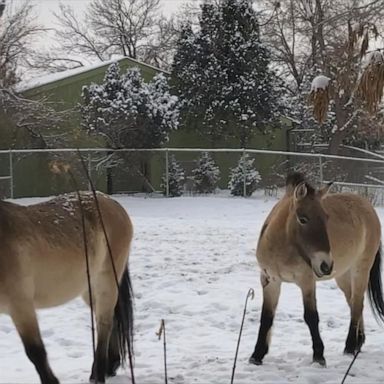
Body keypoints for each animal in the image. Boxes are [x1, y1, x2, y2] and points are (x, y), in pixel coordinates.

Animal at [0, 192, 134, 384]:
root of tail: (112, 202)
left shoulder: (21, 306)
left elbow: (36, 352)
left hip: (106, 283)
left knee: (104, 325)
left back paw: (98, 374)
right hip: (89, 289)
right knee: (114, 320)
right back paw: (110, 367)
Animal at [249, 173, 384, 366]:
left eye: (326, 218)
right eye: (303, 219)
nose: (325, 264)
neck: (281, 248)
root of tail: (368, 208)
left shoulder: (306, 282)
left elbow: (311, 317)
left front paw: (319, 356)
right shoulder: (270, 281)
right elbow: (266, 317)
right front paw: (257, 355)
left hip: (360, 269)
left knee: (357, 304)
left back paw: (350, 347)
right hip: (343, 275)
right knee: (353, 303)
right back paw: (359, 342)